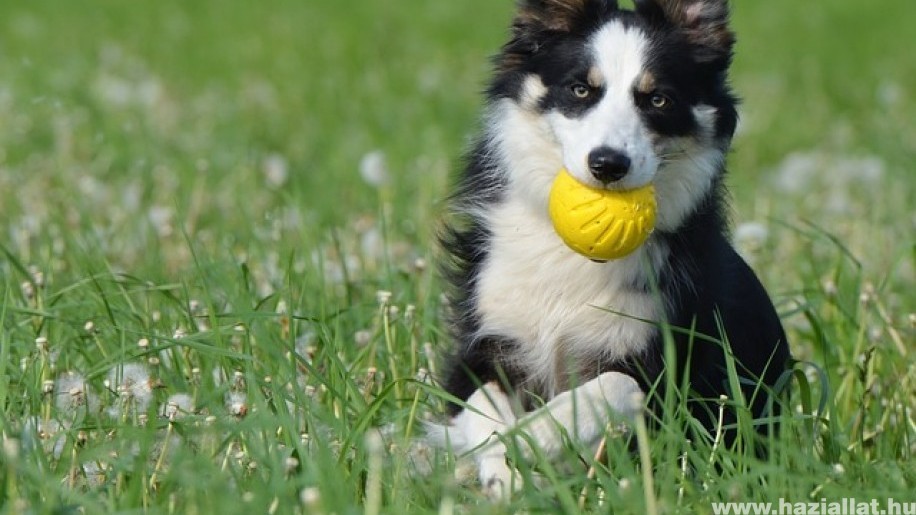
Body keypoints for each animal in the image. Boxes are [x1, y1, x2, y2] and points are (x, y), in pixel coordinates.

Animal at [432, 0, 792, 500]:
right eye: (581, 89)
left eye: (658, 99)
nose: (607, 164)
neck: (570, 255)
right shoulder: (485, 342)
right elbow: (480, 404)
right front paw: (502, 468)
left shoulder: (666, 369)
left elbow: (613, 386)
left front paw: (537, 434)